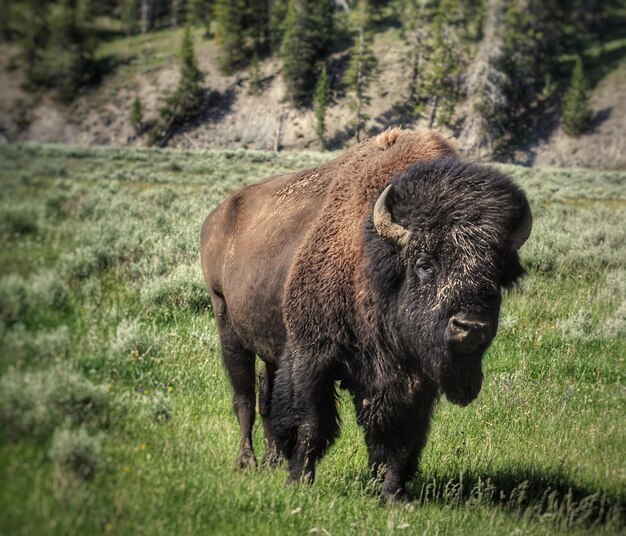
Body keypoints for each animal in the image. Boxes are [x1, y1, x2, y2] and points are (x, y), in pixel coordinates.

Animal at [201, 130, 532, 502]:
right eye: (424, 264)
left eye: (496, 274)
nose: (470, 328)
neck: (373, 263)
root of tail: (217, 215)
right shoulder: (311, 356)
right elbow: (311, 424)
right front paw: (299, 481)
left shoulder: (413, 380)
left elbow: (402, 436)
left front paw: (392, 494)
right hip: (227, 325)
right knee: (244, 398)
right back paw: (247, 461)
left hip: (269, 344)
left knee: (265, 395)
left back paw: (272, 461)